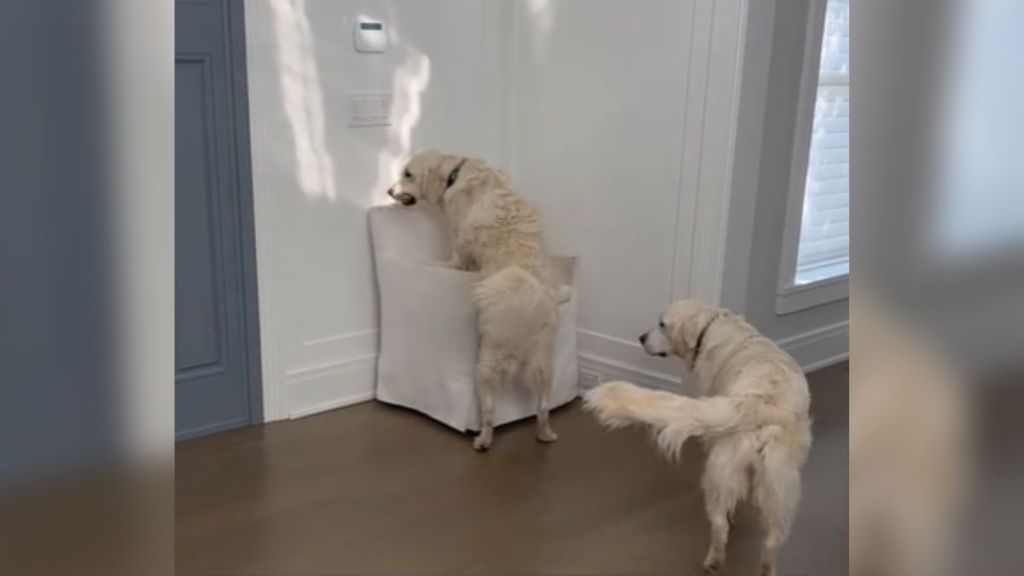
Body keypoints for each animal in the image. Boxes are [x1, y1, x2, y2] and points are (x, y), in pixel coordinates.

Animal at [385, 150, 569, 450]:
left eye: (408, 174)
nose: (389, 191)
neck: (454, 173)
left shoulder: (460, 242)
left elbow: (453, 260)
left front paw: (438, 263)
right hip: (543, 364)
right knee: (542, 407)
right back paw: (545, 434)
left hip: (486, 365)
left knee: (490, 411)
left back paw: (483, 440)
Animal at [589, 297, 811, 573]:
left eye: (662, 324)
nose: (641, 337)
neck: (710, 328)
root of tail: (757, 403)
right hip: (781, 488)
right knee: (771, 542)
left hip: (719, 474)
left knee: (720, 525)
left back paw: (713, 560)